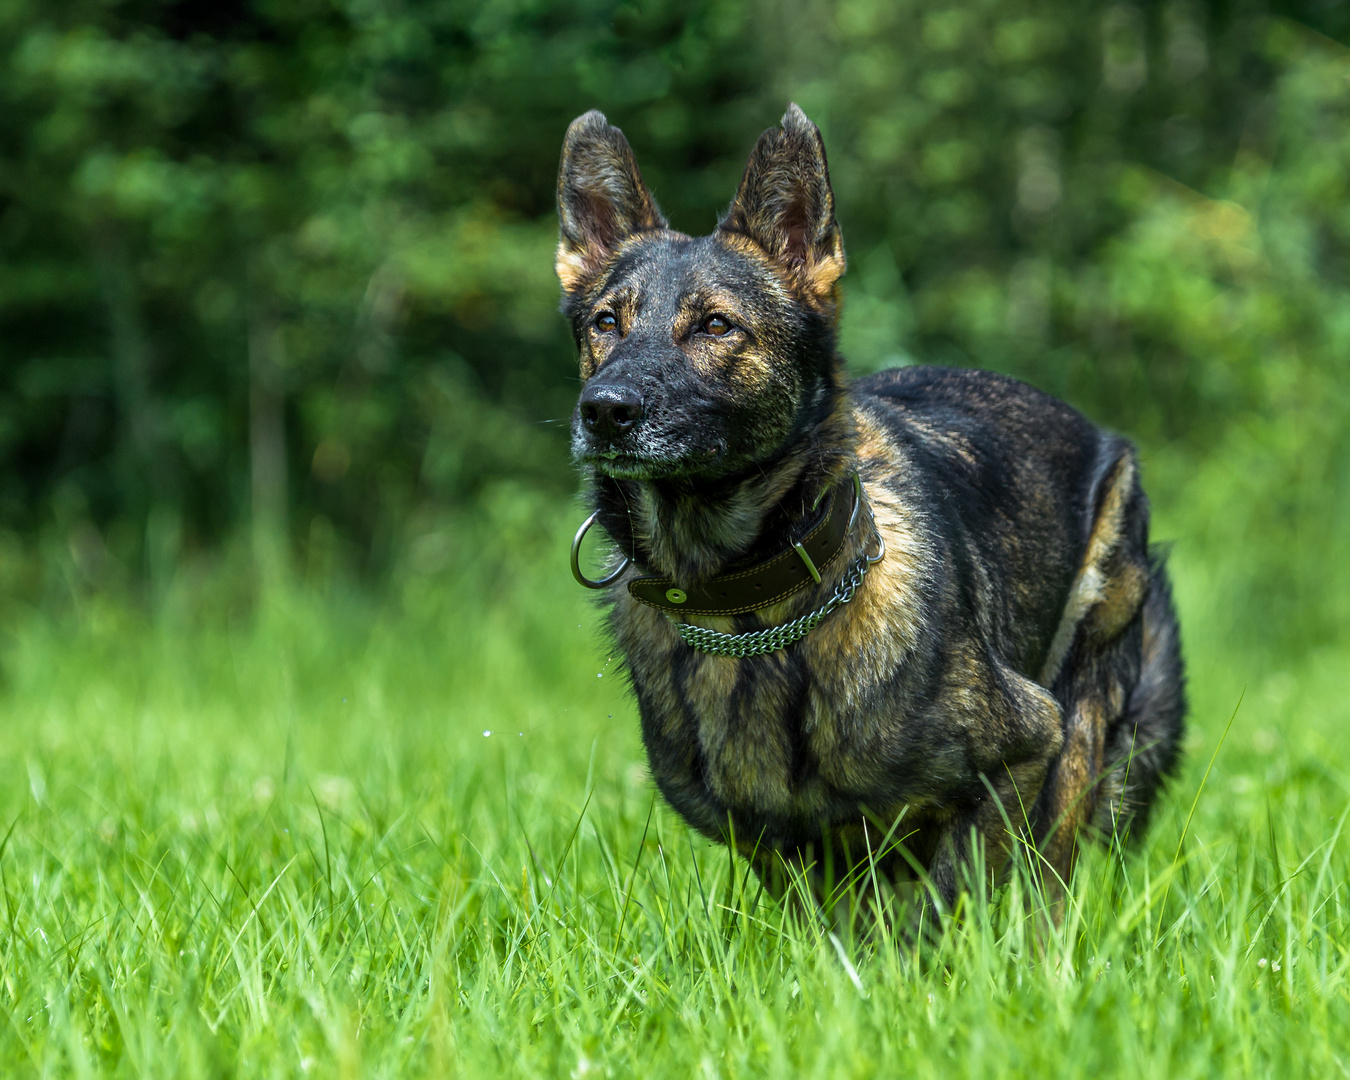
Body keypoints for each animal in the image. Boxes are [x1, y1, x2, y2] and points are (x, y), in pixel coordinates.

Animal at [553, 105, 1188, 923]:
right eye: (606, 323)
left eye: (717, 327)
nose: (604, 412)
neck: (749, 611)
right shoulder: (783, 848)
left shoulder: (1024, 748)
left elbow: (952, 905)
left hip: (1080, 718)